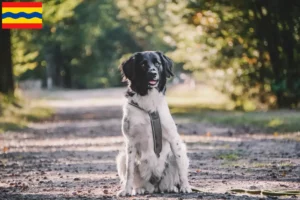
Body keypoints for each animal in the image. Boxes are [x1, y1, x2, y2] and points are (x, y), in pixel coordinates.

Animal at [116, 50, 191, 196]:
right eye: (143, 64)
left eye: (157, 63)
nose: (153, 73)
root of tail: (155, 185)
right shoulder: (130, 141)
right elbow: (129, 172)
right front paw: (126, 190)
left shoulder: (174, 138)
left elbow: (181, 168)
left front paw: (185, 186)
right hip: (122, 156)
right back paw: (139, 189)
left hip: (181, 151)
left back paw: (172, 187)